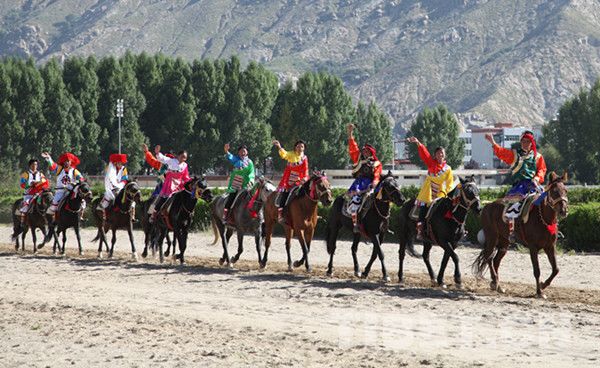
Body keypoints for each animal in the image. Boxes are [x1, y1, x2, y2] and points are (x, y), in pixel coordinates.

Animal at [474, 172, 568, 300]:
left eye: (566, 190)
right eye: (554, 191)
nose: (563, 210)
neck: (543, 218)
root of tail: (486, 207)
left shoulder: (550, 246)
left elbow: (556, 269)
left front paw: (543, 285)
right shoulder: (533, 247)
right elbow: (537, 270)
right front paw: (539, 292)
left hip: (504, 242)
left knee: (495, 261)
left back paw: (498, 285)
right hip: (492, 237)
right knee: (489, 257)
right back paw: (494, 281)